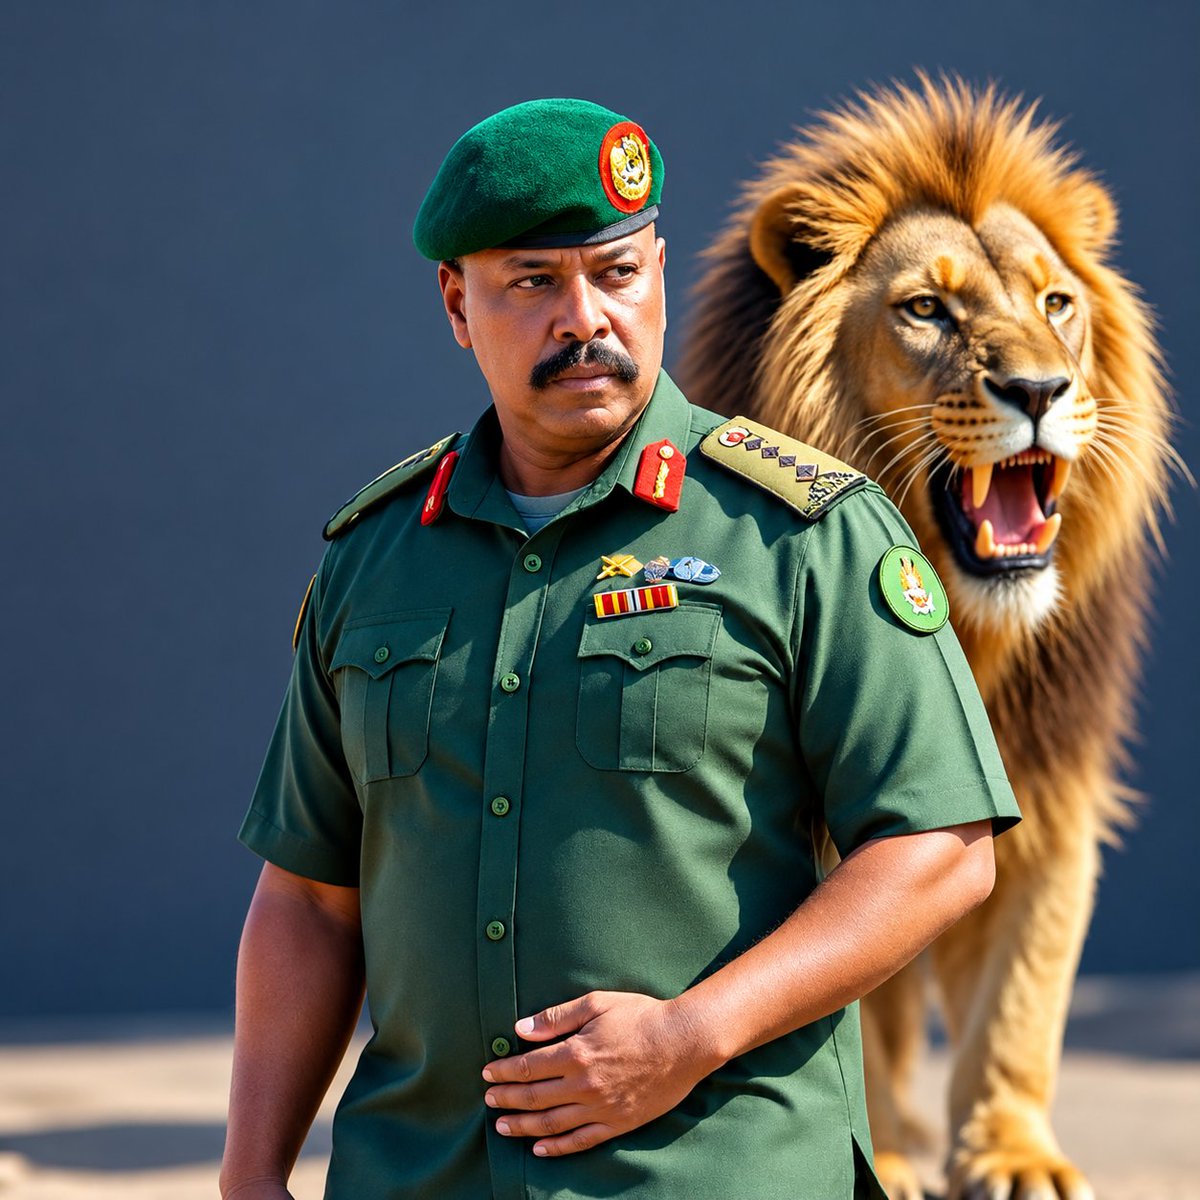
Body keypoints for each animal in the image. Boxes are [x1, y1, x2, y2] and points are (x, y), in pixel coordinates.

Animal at [678, 76, 1175, 1200]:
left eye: (1055, 304)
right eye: (927, 310)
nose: (1039, 391)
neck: (969, 626)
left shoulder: (1051, 778)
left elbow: (1022, 990)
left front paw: (1013, 1153)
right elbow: (845, 999)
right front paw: (885, 1157)